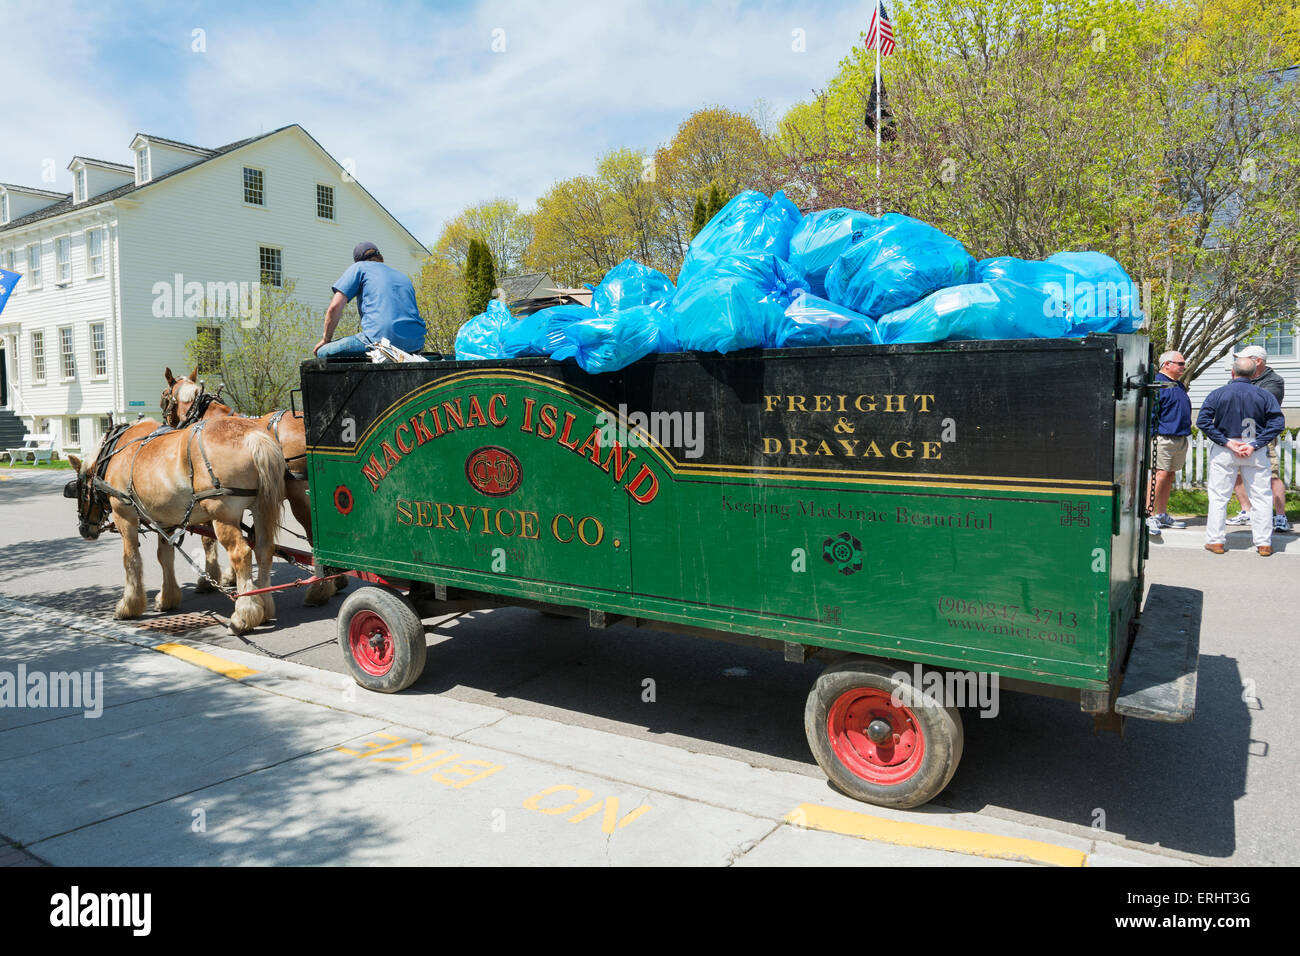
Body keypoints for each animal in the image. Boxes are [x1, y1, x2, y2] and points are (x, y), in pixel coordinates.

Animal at [67, 413, 286, 632]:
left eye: (78, 487)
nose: (84, 529)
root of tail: (252, 435)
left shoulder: (124, 515)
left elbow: (131, 559)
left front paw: (129, 605)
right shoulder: (164, 521)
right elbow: (165, 557)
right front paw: (168, 598)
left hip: (224, 515)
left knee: (241, 553)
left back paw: (243, 613)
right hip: (261, 509)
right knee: (264, 550)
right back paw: (265, 607)